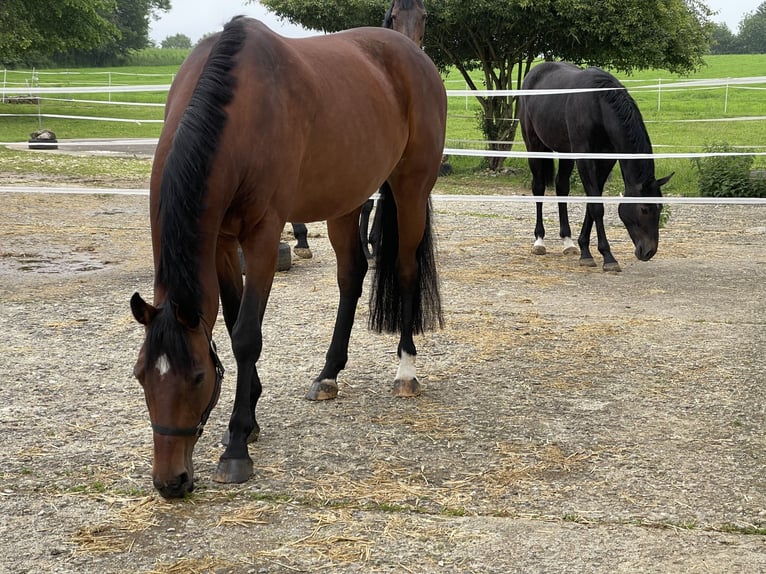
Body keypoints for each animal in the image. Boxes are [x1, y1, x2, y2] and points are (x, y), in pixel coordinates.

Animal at [293, 0, 428, 260]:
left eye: (424, 16)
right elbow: (367, 203)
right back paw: (301, 241)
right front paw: (367, 244)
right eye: (394, 16)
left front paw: (374, 242)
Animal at [518, 61, 673, 272]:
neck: (598, 105)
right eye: (644, 209)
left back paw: (568, 242)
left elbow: (592, 202)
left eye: (660, 208)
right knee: (539, 187)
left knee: (561, 186)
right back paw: (539, 241)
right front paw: (607, 257)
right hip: (534, 145)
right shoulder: (585, 157)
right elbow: (596, 207)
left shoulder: (606, 160)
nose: (649, 251)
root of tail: (534, 72)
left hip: (566, 152)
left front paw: (584, 249)